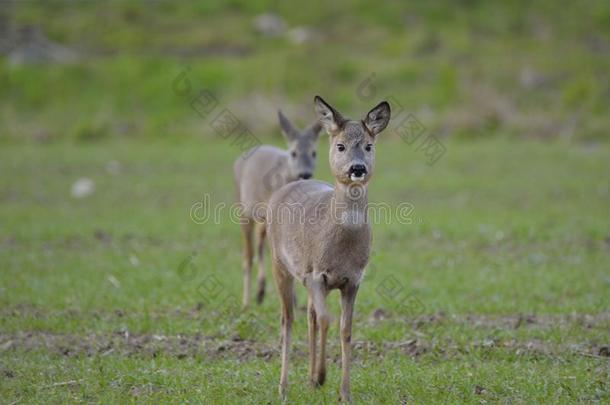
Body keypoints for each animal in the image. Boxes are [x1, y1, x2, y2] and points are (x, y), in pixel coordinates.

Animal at [232, 110, 320, 306]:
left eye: (314, 153)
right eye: (293, 153)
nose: (305, 174)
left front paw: (296, 300)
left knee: (259, 243)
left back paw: (261, 291)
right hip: (242, 206)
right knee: (248, 255)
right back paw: (247, 301)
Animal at [264, 95, 390, 400]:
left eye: (369, 146)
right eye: (340, 145)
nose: (357, 168)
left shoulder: (353, 280)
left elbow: (345, 329)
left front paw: (344, 392)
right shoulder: (316, 274)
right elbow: (325, 320)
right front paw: (321, 376)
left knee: (308, 315)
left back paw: (308, 379)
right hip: (279, 264)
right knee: (288, 320)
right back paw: (283, 387)